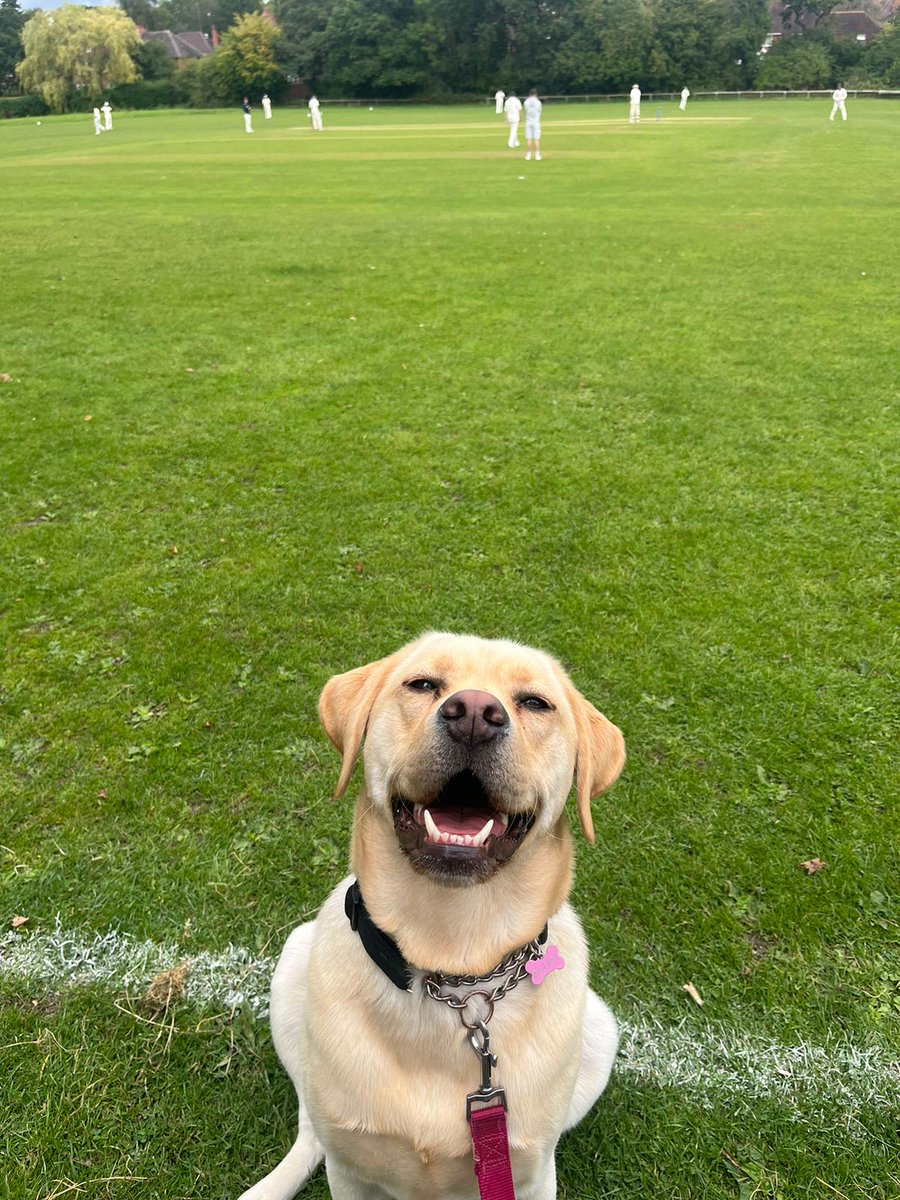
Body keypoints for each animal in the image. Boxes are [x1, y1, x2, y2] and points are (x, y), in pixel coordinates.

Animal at [236, 633, 624, 1200]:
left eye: (535, 702)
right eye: (421, 684)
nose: (475, 715)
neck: (452, 960)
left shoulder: (529, 1174)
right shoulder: (351, 1175)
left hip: (601, 1033)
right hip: (292, 968)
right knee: (311, 1126)